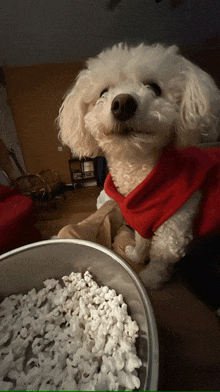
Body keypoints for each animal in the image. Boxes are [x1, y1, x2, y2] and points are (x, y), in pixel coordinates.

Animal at [57, 43, 220, 288]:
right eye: (103, 93)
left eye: (154, 87)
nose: (122, 104)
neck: (136, 169)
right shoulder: (141, 220)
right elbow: (142, 240)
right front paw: (135, 255)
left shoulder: (173, 228)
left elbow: (161, 258)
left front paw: (149, 280)